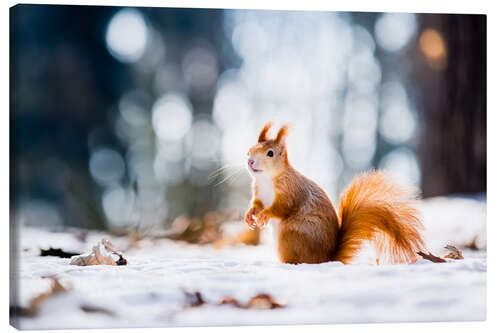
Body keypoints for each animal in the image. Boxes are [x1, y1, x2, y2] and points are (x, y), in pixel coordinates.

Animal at [244, 122, 424, 264]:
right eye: (249, 150)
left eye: (270, 153)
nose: (250, 161)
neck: (267, 179)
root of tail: (327, 259)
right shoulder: (258, 192)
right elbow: (257, 204)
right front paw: (250, 214)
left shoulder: (292, 192)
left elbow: (283, 207)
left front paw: (265, 214)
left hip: (291, 234)